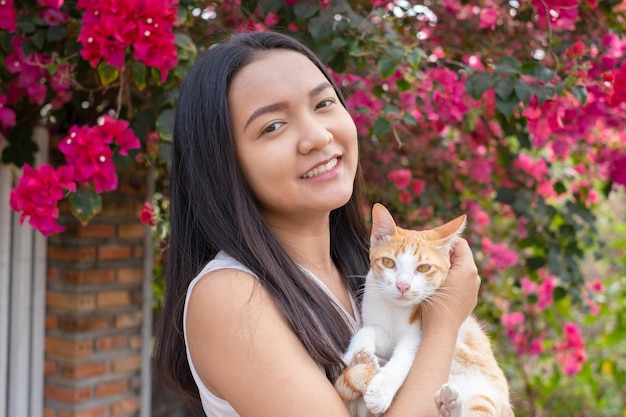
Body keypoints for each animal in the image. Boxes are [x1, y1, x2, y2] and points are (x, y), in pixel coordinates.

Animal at [334, 204, 510, 416]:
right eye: (388, 263)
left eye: (424, 268)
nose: (402, 286)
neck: (395, 310)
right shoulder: (385, 332)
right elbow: (370, 330)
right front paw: (357, 353)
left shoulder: (417, 337)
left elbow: (403, 358)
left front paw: (381, 390)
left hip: (485, 392)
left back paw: (450, 404)